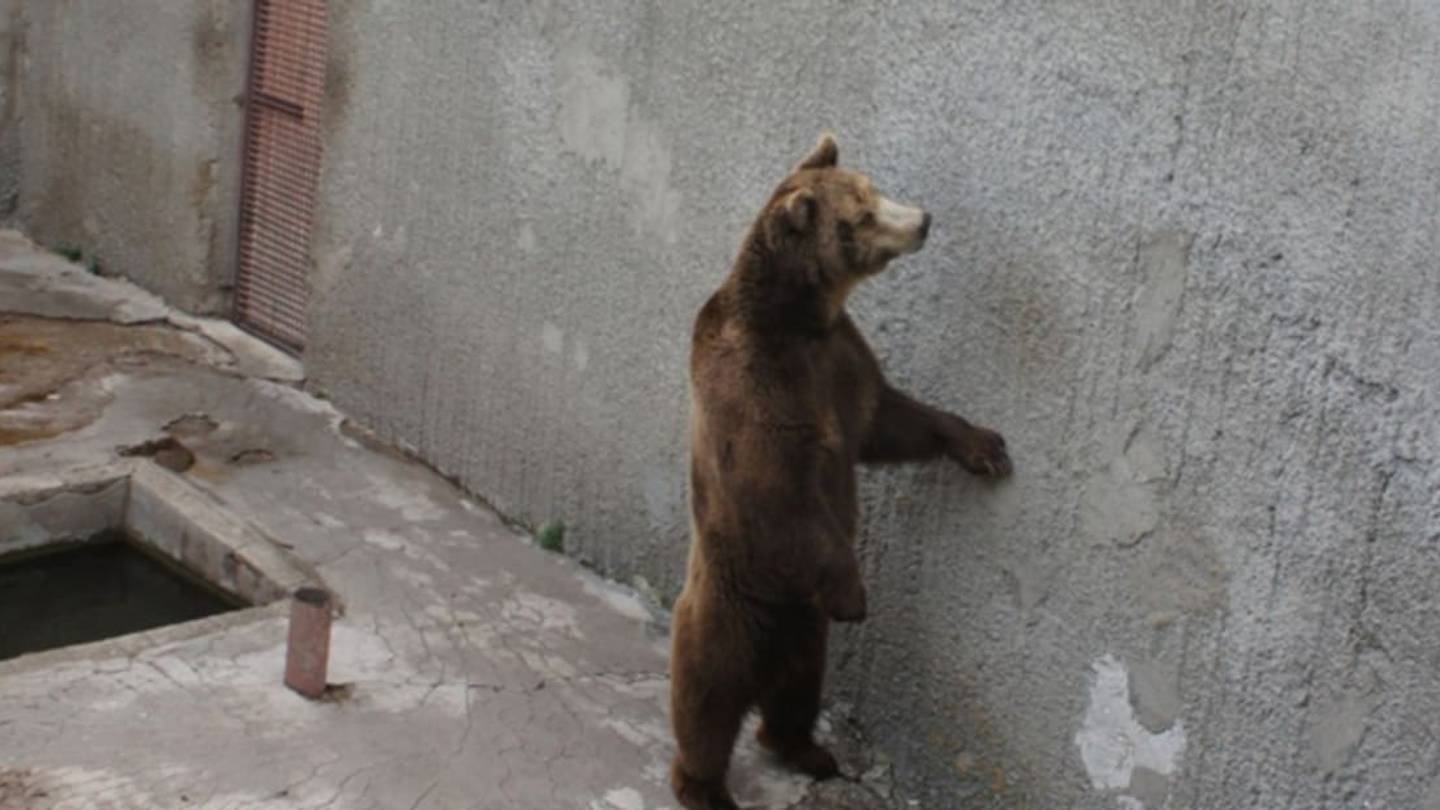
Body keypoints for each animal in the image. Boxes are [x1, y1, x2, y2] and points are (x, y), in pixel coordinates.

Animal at [668, 133, 1012, 810]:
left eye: (874, 188)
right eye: (864, 213)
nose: (923, 219)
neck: (801, 318)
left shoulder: (840, 362)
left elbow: (890, 418)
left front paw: (983, 443)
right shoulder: (756, 389)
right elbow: (783, 492)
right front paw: (856, 594)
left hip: (806, 632)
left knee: (797, 691)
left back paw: (808, 749)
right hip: (733, 600)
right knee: (706, 694)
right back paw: (704, 786)